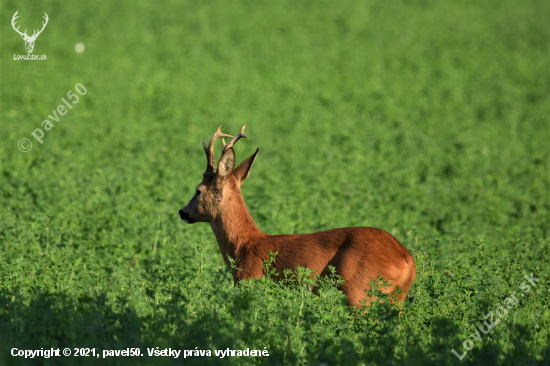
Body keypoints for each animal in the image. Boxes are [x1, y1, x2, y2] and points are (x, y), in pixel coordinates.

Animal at [179, 124, 416, 308]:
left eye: (198, 190)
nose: (182, 212)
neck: (244, 245)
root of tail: (408, 262)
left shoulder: (250, 281)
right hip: (394, 299)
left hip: (359, 291)